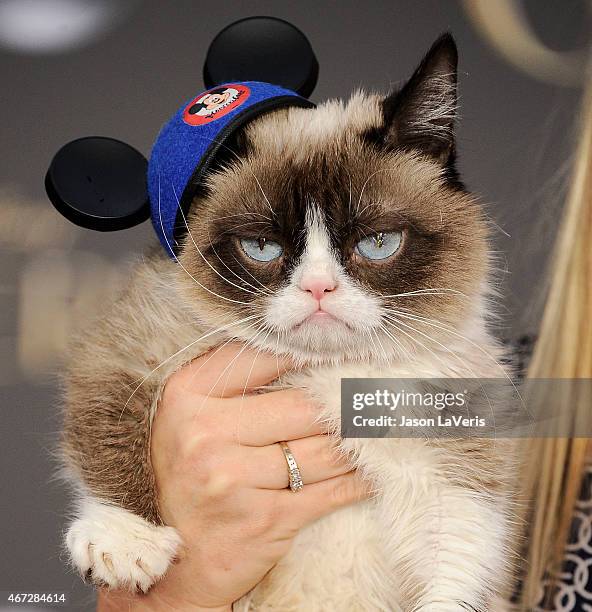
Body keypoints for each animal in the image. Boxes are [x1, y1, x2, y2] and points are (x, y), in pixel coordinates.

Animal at [61, 33, 520, 612]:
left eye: (378, 242)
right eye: (263, 247)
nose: (318, 288)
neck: (334, 374)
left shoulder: (455, 481)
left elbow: (456, 565)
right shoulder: (133, 347)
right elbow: (107, 428)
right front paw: (126, 540)